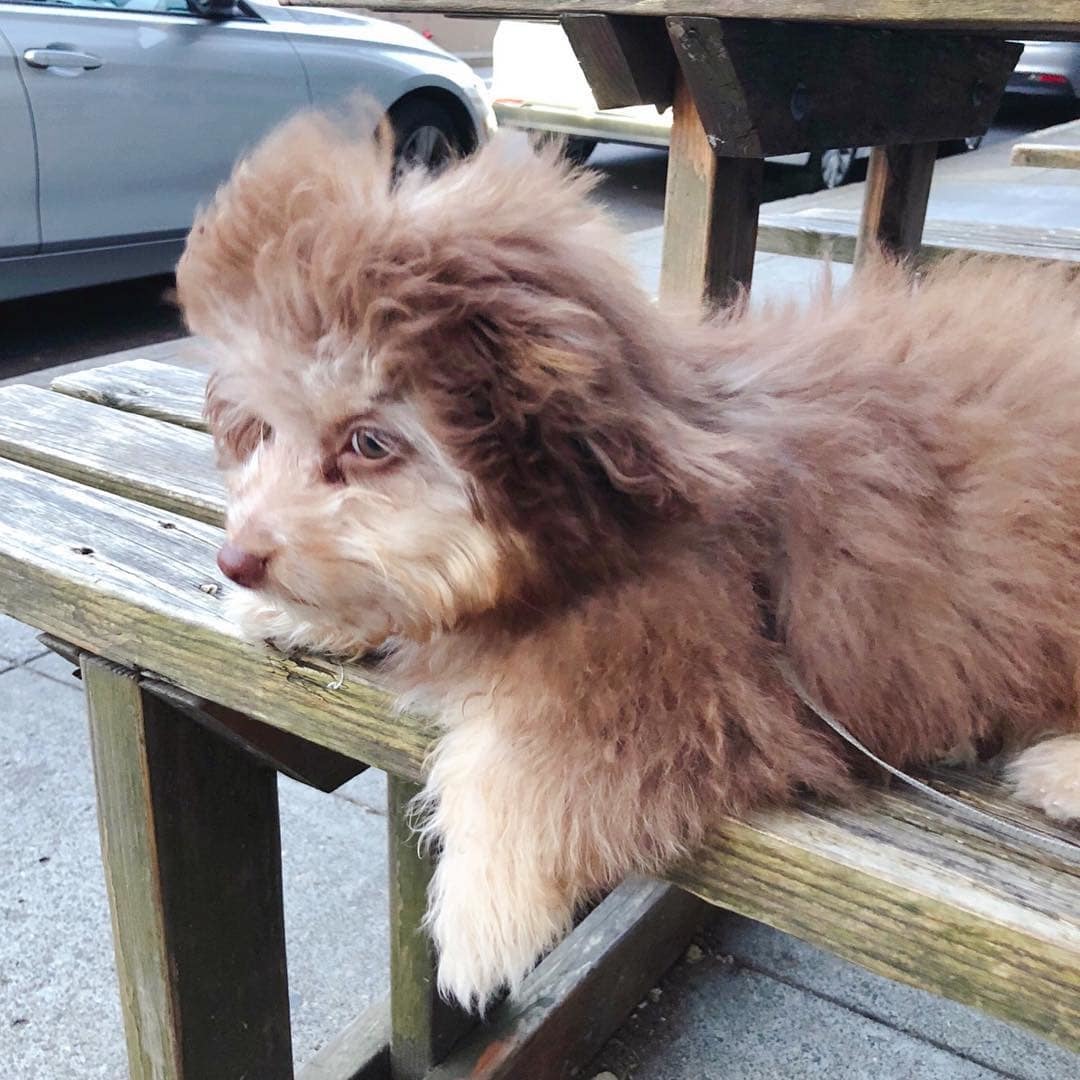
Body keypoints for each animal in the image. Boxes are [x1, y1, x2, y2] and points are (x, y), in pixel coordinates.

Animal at [179, 116, 1080, 1010]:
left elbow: (548, 752)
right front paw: (294, 613)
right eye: (266, 429)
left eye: (369, 443)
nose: (239, 557)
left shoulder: (701, 671)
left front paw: (481, 913)